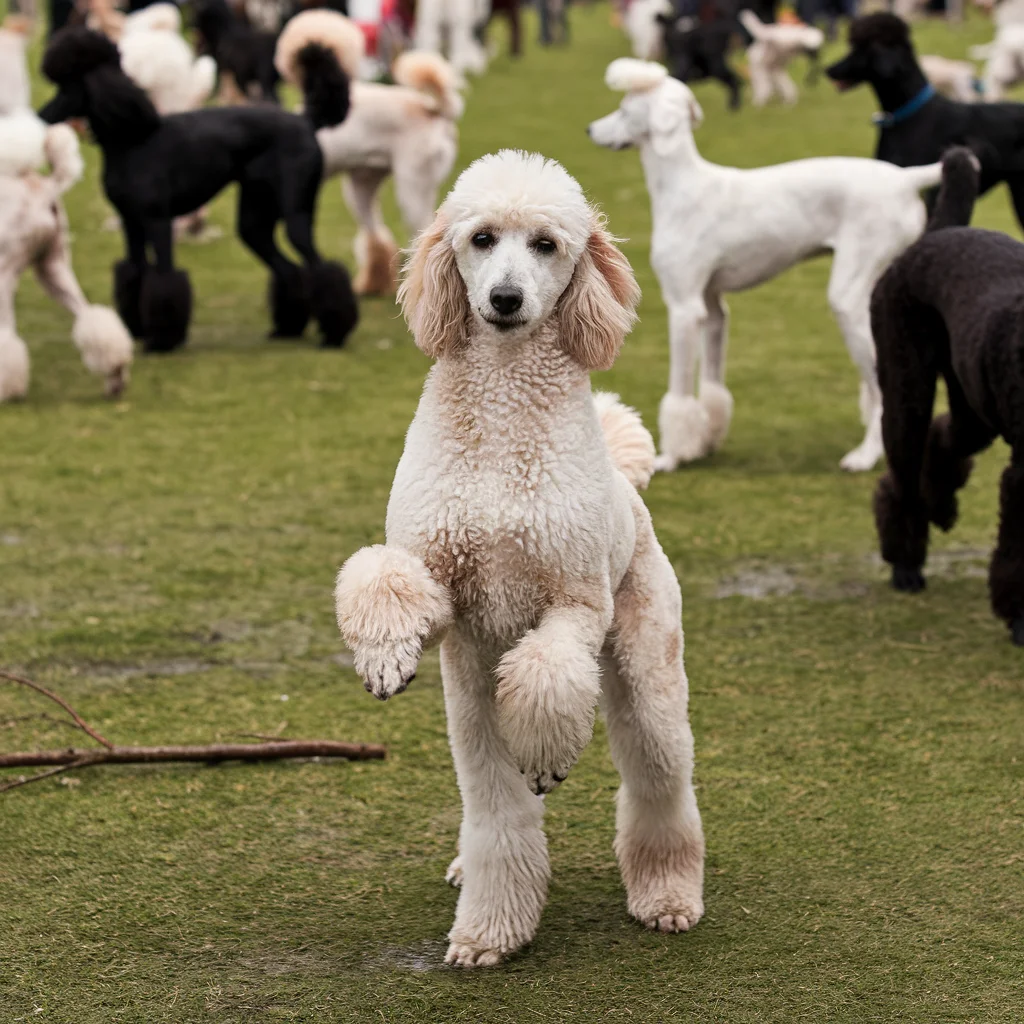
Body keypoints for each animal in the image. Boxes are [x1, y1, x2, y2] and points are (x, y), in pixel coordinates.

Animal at [37, 27, 358, 352]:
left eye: (67, 87)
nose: (41, 116)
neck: (133, 140)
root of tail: (306, 121)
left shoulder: (157, 220)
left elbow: (164, 279)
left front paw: (161, 341)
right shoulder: (131, 222)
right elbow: (134, 272)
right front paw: (136, 331)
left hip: (296, 211)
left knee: (322, 268)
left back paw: (334, 335)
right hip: (255, 217)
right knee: (288, 269)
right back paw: (287, 328)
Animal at [335, 148, 704, 962]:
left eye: (546, 244)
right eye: (480, 239)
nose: (505, 299)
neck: (504, 416)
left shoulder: (573, 601)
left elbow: (545, 674)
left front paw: (545, 760)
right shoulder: (445, 585)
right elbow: (382, 575)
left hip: (646, 663)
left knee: (659, 778)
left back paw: (666, 893)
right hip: (471, 701)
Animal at [585, 62, 942, 475]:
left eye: (626, 110)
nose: (590, 129)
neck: (683, 186)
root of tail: (905, 178)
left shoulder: (684, 308)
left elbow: (680, 392)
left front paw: (671, 456)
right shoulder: (712, 308)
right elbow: (712, 387)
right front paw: (706, 442)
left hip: (849, 299)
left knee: (882, 387)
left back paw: (866, 455)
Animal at [872, 149, 1024, 647]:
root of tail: (940, 230)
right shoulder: (1023, 476)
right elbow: (1017, 553)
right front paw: (1021, 621)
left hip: (972, 407)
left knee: (942, 443)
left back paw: (939, 504)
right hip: (907, 388)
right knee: (899, 478)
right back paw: (905, 565)